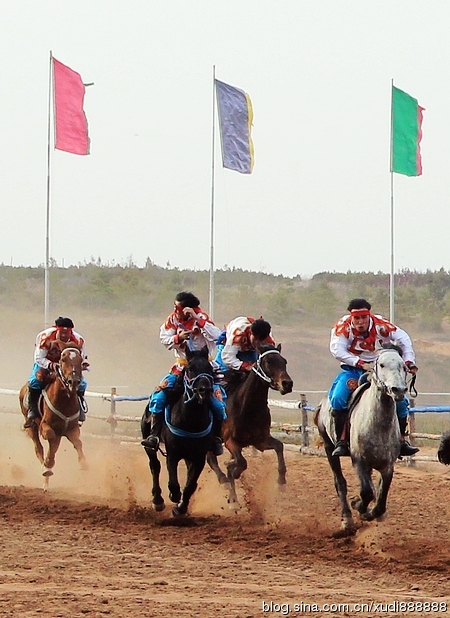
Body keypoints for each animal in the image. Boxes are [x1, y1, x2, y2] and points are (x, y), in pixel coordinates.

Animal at [19, 344, 88, 488]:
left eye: (80, 360)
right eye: (63, 359)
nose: (73, 381)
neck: (65, 401)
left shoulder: (71, 429)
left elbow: (78, 443)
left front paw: (83, 463)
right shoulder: (45, 426)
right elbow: (50, 439)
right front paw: (47, 464)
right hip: (31, 427)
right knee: (38, 448)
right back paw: (45, 470)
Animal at [142, 346, 216, 516]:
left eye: (209, 368)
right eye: (190, 368)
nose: (205, 391)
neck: (190, 421)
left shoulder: (199, 457)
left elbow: (190, 485)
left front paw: (181, 508)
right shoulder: (173, 454)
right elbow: (173, 483)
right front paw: (174, 496)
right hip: (148, 442)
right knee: (154, 465)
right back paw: (158, 500)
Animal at [207, 342, 294, 506]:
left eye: (284, 361)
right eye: (268, 362)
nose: (287, 384)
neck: (247, 407)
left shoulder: (260, 440)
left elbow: (279, 446)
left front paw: (281, 481)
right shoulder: (230, 441)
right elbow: (241, 462)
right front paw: (232, 473)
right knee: (211, 459)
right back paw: (224, 481)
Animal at [314, 344, 406, 532]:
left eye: (403, 366)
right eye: (382, 365)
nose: (398, 390)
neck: (378, 426)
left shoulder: (388, 466)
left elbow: (380, 500)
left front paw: (370, 512)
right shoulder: (359, 461)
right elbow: (367, 493)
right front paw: (358, 505)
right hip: (328, 447)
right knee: (340, 483)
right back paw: (347, 520)